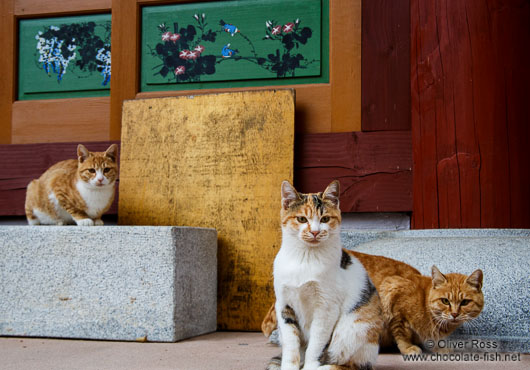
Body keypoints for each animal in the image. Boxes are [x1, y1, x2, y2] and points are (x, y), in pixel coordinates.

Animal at [260, 251, 482, 356]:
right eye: (445, 301)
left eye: (465, 302)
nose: (455, 314)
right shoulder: (392, 291)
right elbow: (400, 331)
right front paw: (408, 348)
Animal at [266, 181, 382, 370]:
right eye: (302, 219)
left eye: (325, 219)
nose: (314, 232)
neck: (305, 258)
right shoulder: (284, 304)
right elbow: (291, 344)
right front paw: (289, 366)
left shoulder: (326, 307)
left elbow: (317, 343)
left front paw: (311, 366)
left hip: (353, 330)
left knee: (350, 364)